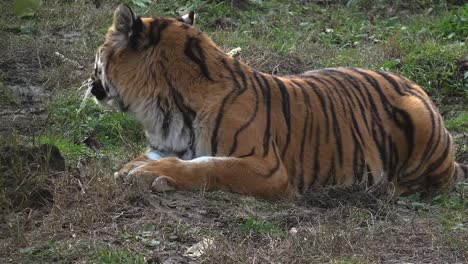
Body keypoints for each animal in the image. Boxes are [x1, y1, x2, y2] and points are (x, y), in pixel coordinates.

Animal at [86, 4, 466, 199]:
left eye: (98, 53)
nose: (90, 83)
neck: (162, 110)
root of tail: (418, 87)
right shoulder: (163, 145)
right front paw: (132, 169)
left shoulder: (267, 167)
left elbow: (208, 166)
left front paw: (146, 174)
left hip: (419, 124)